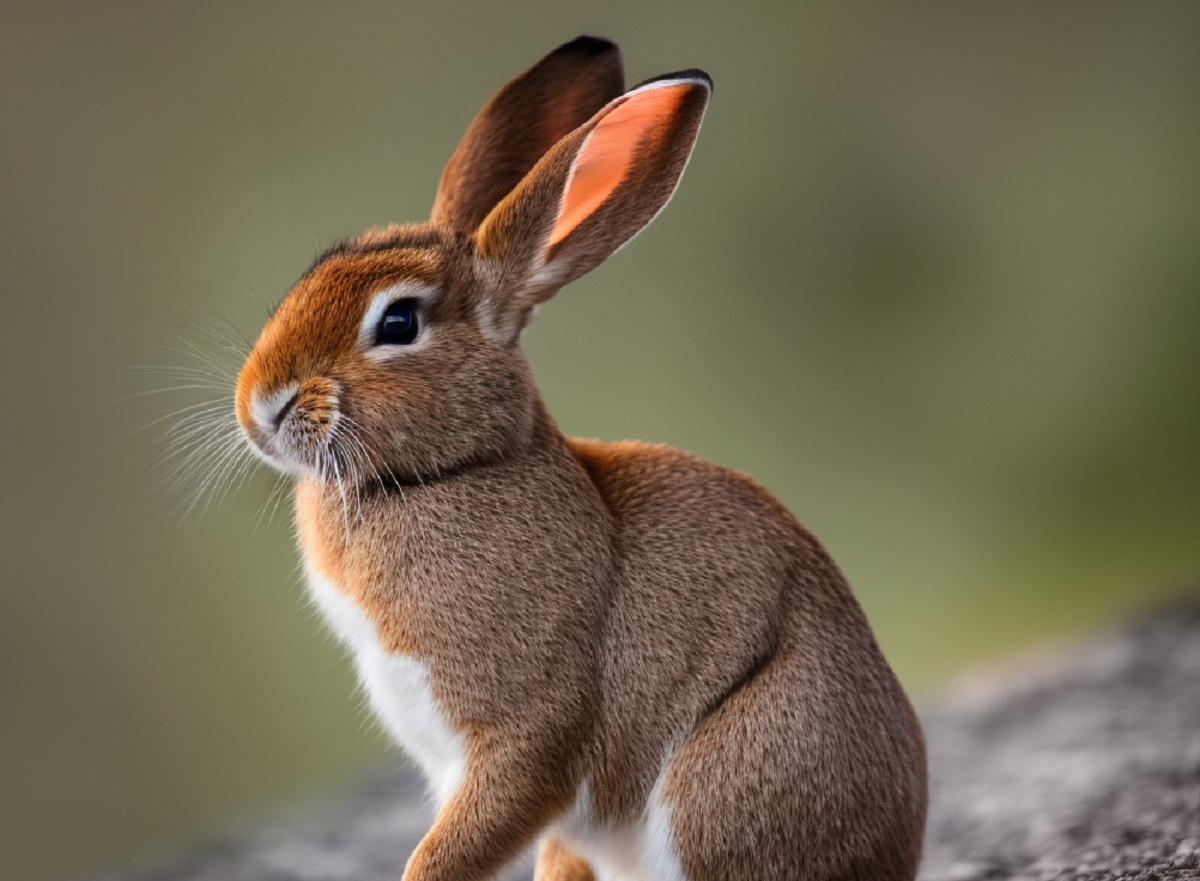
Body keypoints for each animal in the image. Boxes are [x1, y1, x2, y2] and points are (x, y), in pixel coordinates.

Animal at [234, 34, 926, 881]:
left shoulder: (522, 737)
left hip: (728, 785)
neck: (460, 465)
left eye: (397, 322)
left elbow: (456, 846)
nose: (256, 405)